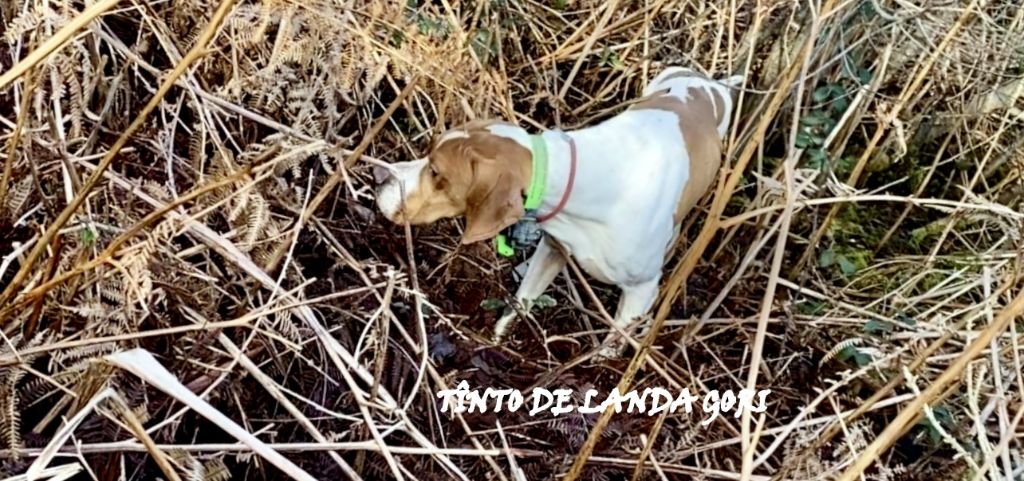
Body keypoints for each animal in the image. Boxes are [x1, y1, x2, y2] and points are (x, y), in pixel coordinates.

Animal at [372, 66, 741, 356]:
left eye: (436, 172)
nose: (379, 176)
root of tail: (708, 81)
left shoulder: (641, 292)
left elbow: (608, 350)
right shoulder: (553, 248)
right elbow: (520, 303)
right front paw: (496, 342)